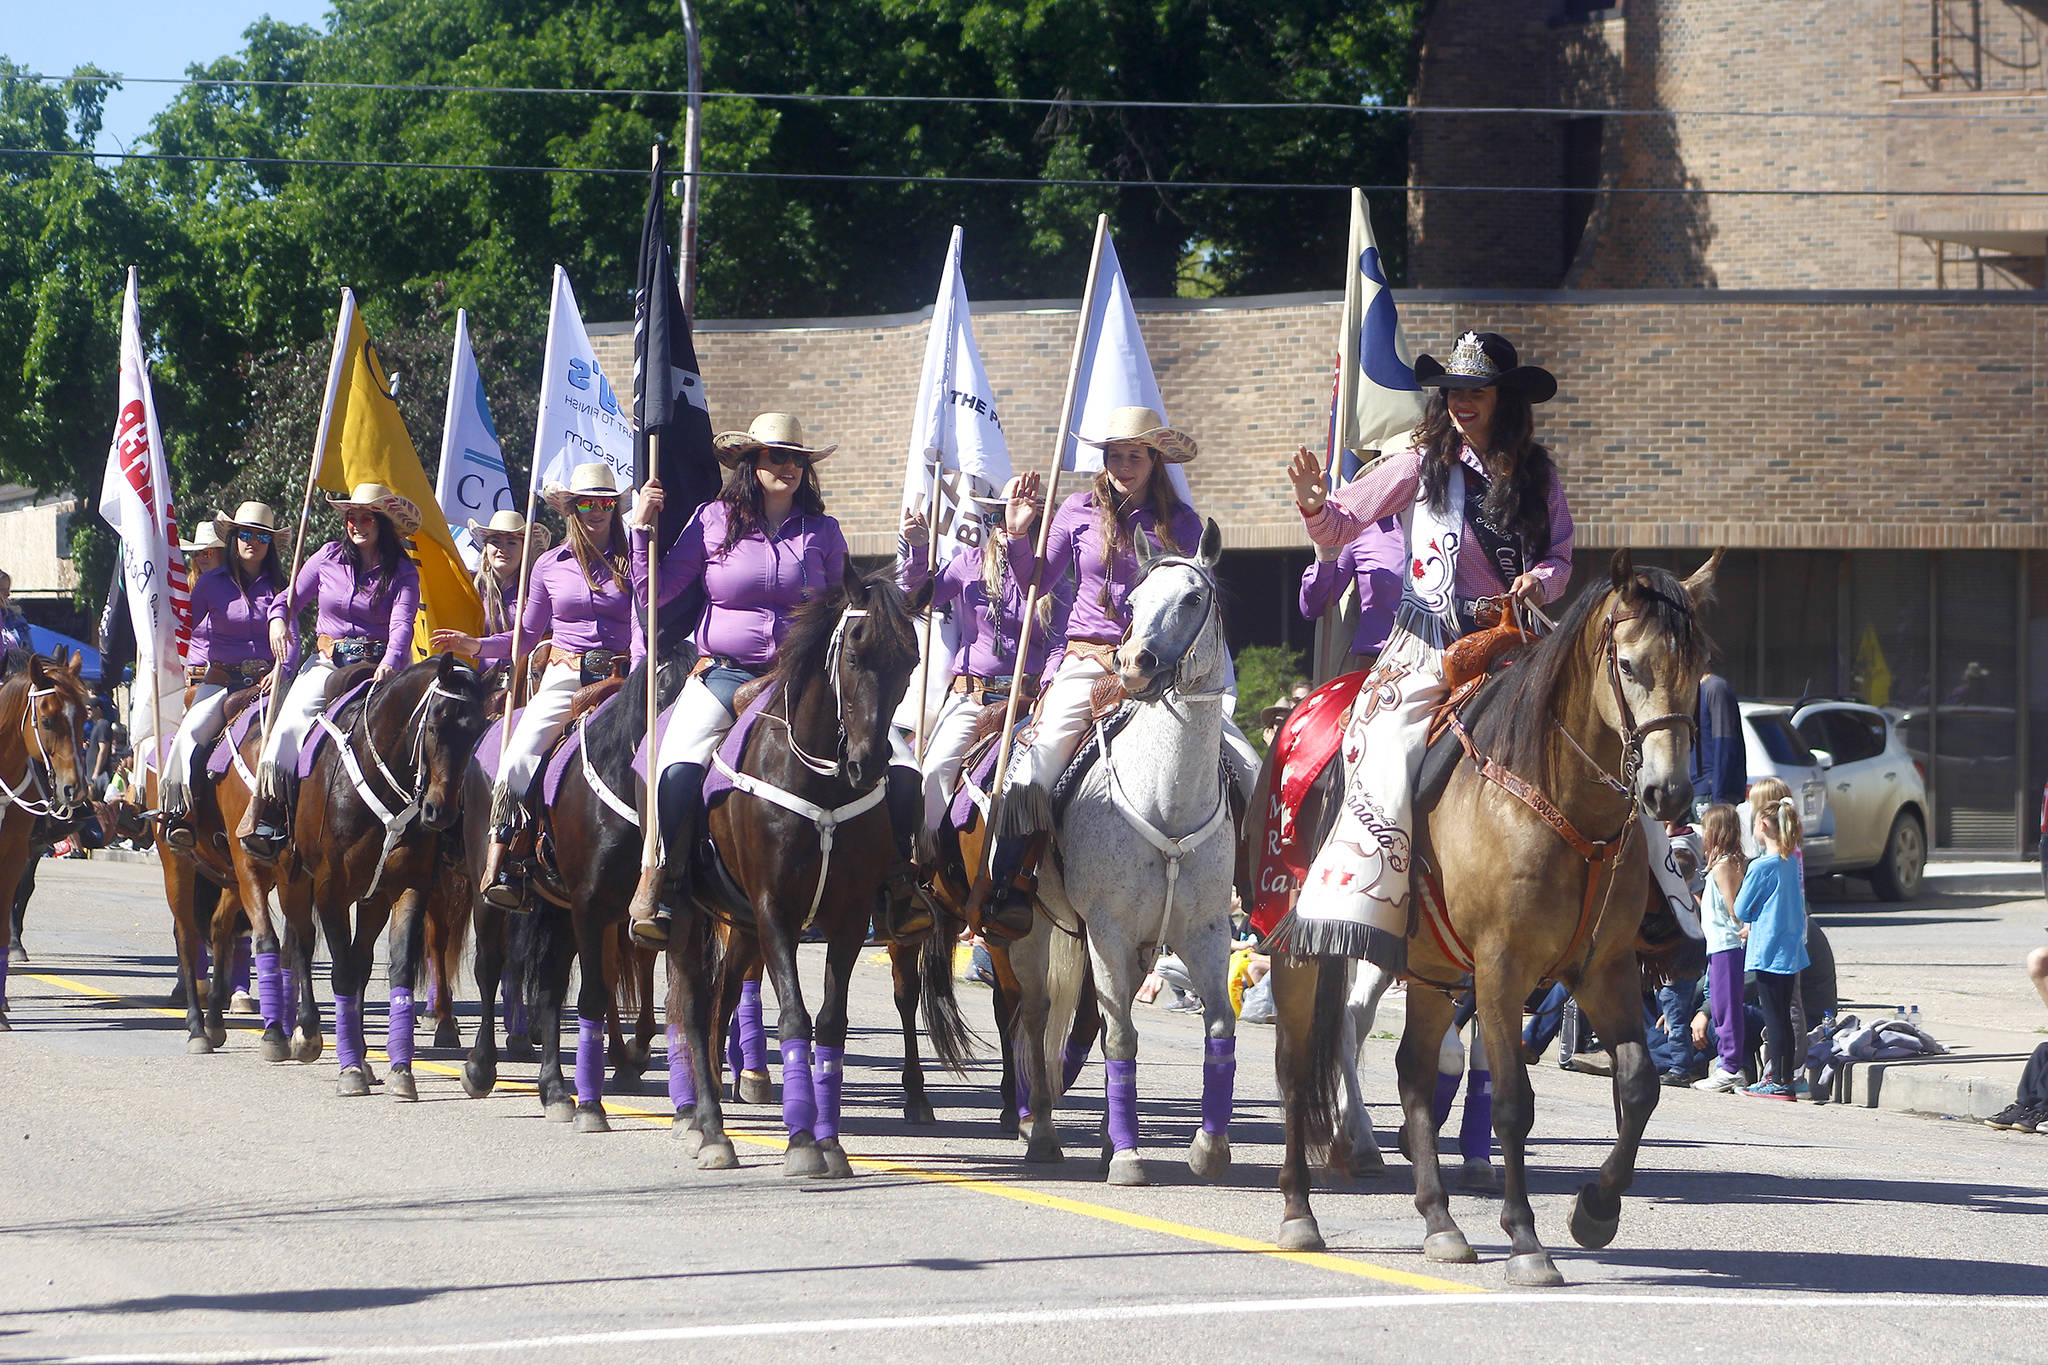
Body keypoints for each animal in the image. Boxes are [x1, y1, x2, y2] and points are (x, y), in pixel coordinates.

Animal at [667, 564, 925, 1178]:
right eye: (853, 652)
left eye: (911, 661)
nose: (867, 765)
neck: (823, 783)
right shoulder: (775, 910)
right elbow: (793, 1018)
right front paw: (803, 1142)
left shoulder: (849, 916)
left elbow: (830, 1021)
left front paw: (829, 1143)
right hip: (693, 914)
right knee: (694, 1007)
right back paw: (708, 1128)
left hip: (737, 924)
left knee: (722, 997)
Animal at [1003, 523, 1236, 1186]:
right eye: (1132, 601)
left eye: (1192, 598)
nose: (1135, 664)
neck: (1168, 798)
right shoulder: (1106, 929)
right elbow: (1120, 1040)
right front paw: (1130, 1159)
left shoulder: (1206, 931)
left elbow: (1218, 1026)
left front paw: (1208, 1149)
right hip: (1036, 931)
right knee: (1036, 1018)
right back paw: (1042, 1133)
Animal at [1269, 548, 1720, 1285]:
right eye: (1629, 665)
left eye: (1699, 667)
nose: (1669, 792)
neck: (1556, 799)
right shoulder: (1502, 968)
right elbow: (1512, 1104)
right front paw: (1527, 1239)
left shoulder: (1603, 968)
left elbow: (1640, 1084)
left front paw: (1596, 1208)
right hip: (1298, 950)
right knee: (1293, 1062)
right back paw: (1298, 1212)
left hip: (1428, 969)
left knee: (1413, 1073)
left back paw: (1440, 1222)